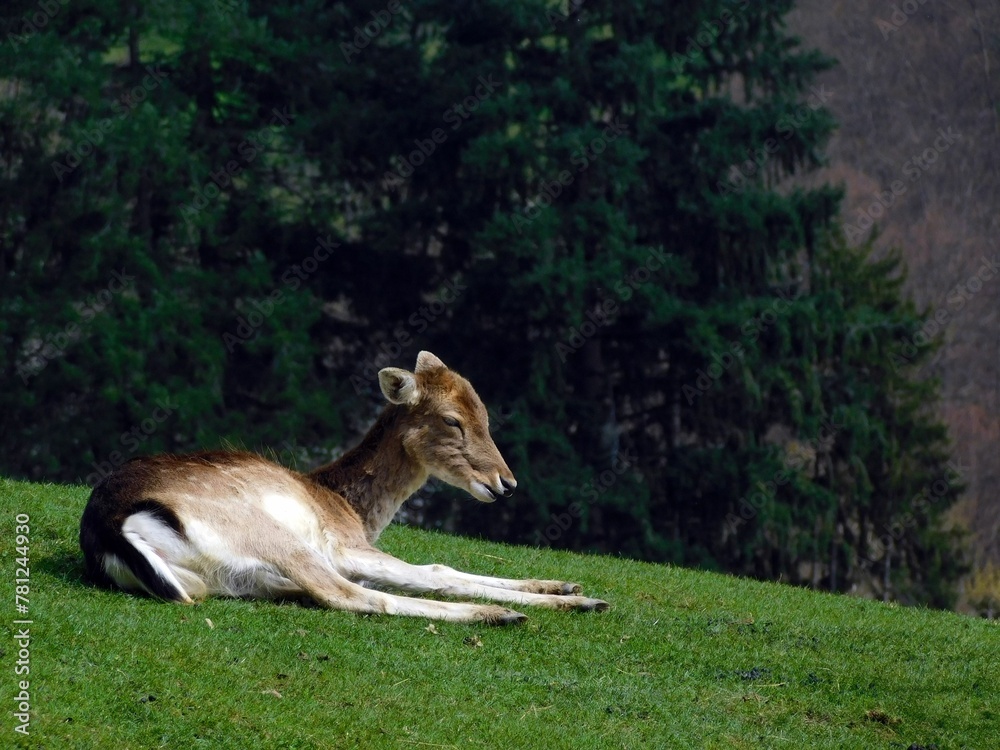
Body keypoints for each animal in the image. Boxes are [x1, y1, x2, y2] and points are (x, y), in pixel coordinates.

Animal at [80, 351, 609, 624]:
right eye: (452, 420)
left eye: (486, 416)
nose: (506, 483)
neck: (346, 503)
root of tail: (111, 530)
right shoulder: (344, 544)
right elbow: (436, 569)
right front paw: (578, 598)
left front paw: (563, 583)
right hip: (273, 535)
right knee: (347, 594)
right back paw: (495, 614)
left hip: (225, 578)